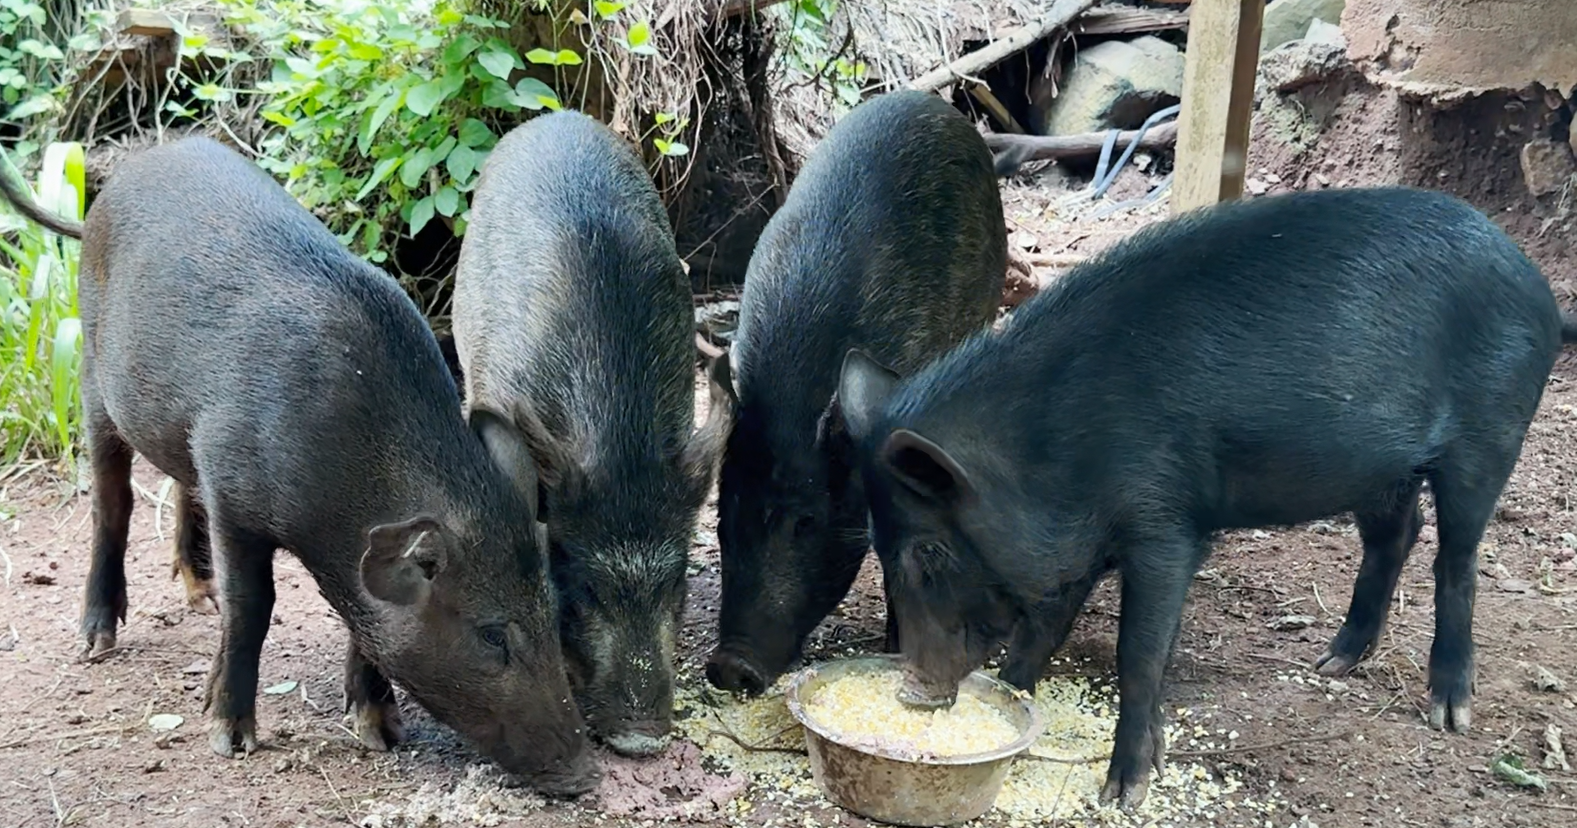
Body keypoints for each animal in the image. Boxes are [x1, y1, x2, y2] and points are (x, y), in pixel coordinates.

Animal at [0, 137, 598, 796]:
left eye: (552, 614)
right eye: (493, 634)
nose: (588, 773)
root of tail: (119, 181)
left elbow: (360, 624)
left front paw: (381, 733)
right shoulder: (233, 489)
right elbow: (253, 606)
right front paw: (231, 738)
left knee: (181, 487)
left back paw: (200, 596)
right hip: (91, 373)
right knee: (113, 503)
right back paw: (98, 642)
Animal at [836, 185, 1577, 808]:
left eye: (929, 553)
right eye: (876, 546)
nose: (911, 691)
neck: (1052, 450)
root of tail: (1538, 288)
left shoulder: (1164, 522)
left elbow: (1138, 652)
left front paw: (1123, 793)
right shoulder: (1085, 540)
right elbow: (1047, 625)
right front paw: (1018, 694)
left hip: (1491, 434)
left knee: (1456, 557)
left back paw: (1448, 712)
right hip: (1375, 467)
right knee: (1396, 534)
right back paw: (1332, 660)